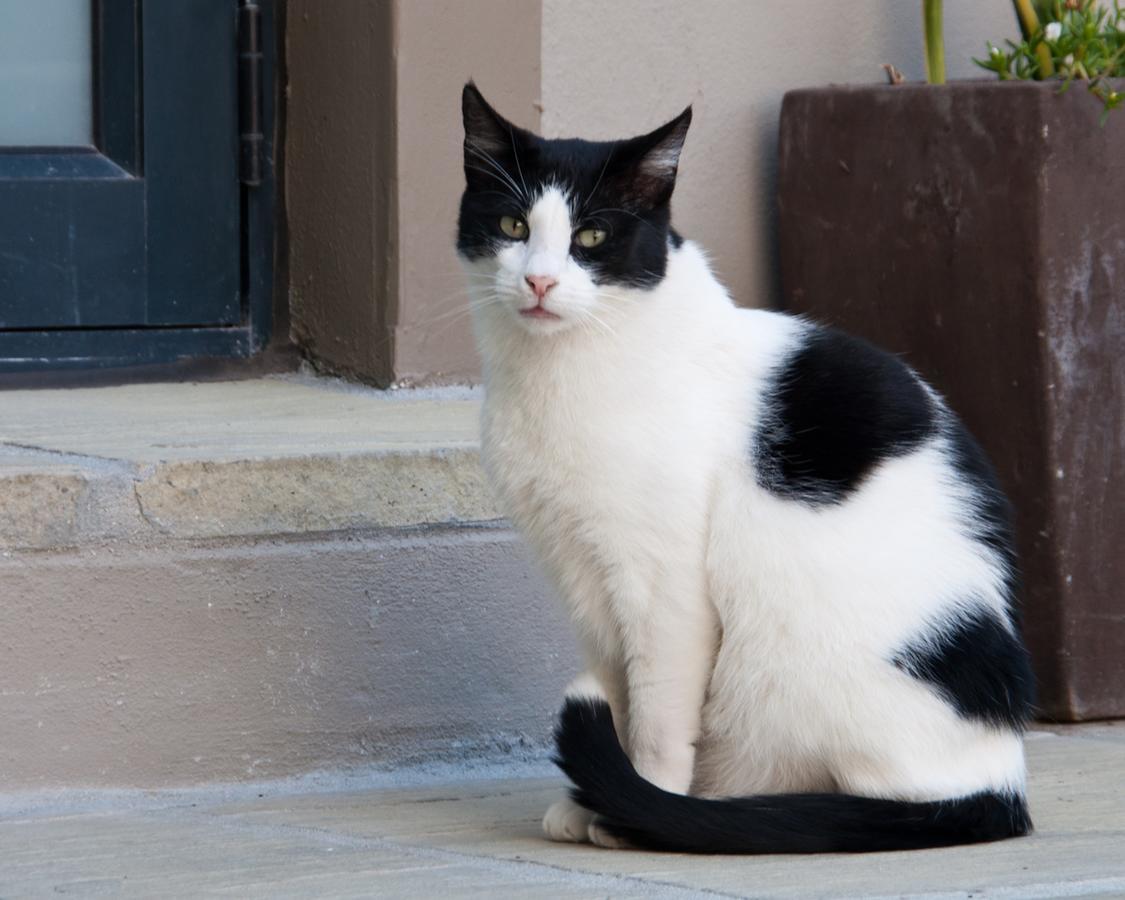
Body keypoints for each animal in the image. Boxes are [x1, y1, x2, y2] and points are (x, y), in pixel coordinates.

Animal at [452, 82, 1030, 850]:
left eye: (591, 238)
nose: (540, 281)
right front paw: (594, 802)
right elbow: (617, 692)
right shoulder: (583, 576)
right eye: (512, 224)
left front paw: (640, 807)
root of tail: (1001, 783)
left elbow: (657, 715)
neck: (559, 375)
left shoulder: (661, 584)